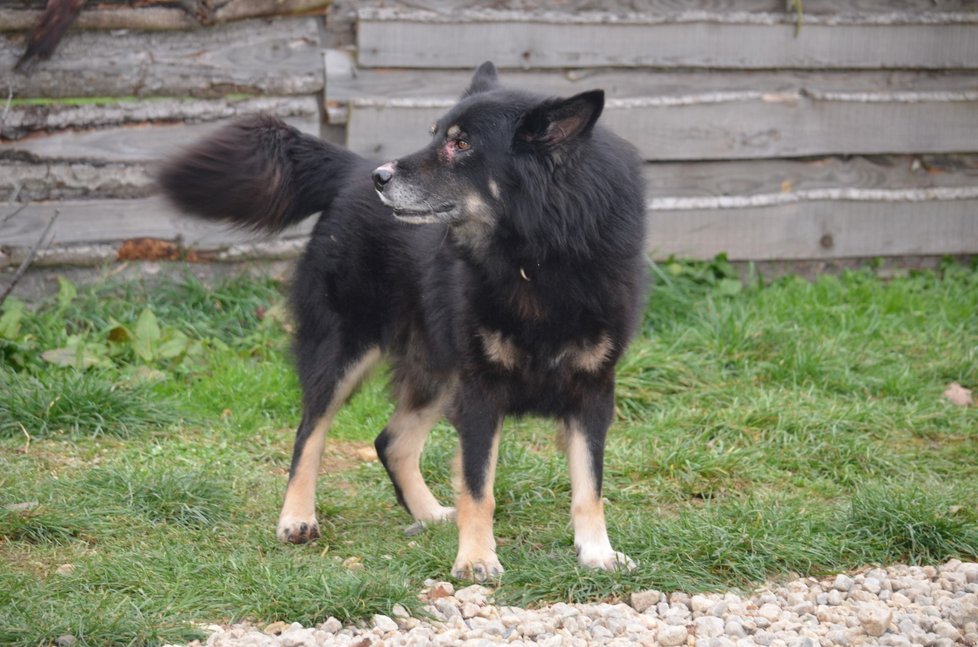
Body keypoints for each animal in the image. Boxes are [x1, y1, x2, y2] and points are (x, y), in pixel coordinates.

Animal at [158, 62, 648, 584]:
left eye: (462, 144)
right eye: (435, 134)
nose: (381, 175)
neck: (537, 256)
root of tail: (349, 168)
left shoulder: (592, 389)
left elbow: (589, 486)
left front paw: (597, 554)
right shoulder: (480, 389)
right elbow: (479, 487)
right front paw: (476, 558)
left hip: (437, 369)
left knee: (391, 441)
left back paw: (428, 514)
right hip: (345, 349)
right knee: (309, 432)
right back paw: (297, 518)